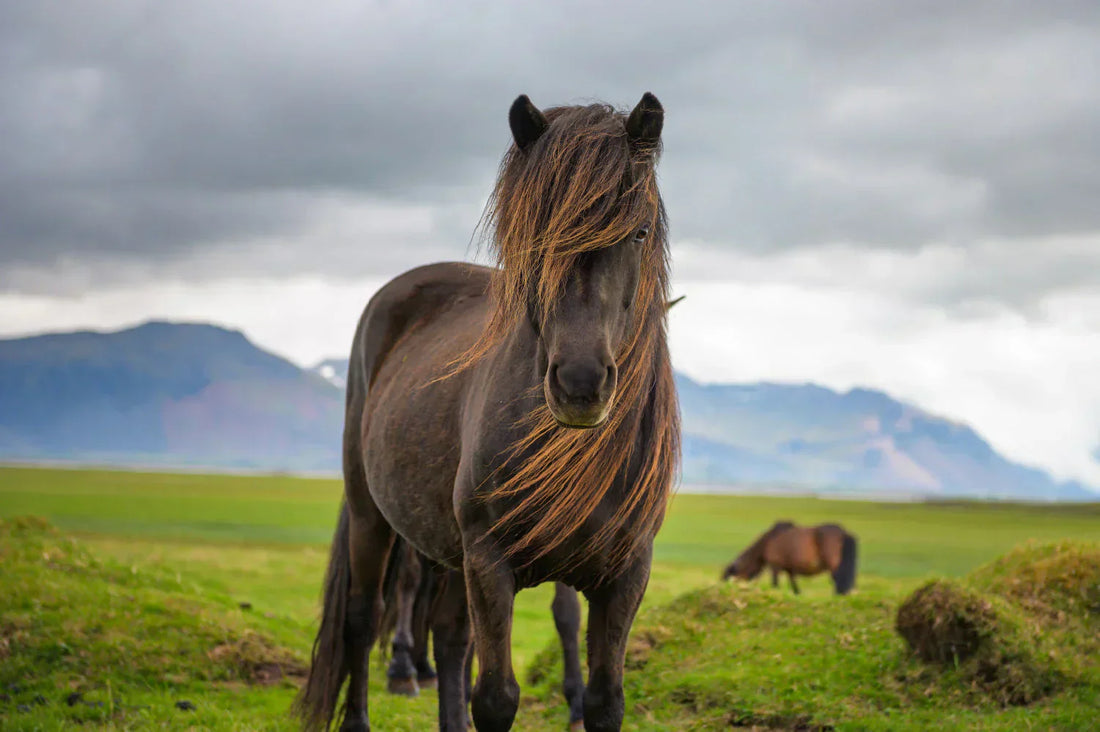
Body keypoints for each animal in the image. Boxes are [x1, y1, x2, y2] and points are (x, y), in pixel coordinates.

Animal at [295, 92, 679, 732]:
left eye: (640, 231)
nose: (579, 382)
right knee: (364, 616)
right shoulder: (490, 563)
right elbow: (496, 697)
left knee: (449, 637)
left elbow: (604, 699)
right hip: (374, 516)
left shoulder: (626, 572)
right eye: (536, 233)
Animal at [722, 522, 858, 595]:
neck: (768, 541)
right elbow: (795, 588)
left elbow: (775, 584)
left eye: (729, 577)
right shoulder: (790, 570)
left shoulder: (775, 566)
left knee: (837, 580)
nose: (727, 589)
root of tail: (844, 533)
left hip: (833, 565)